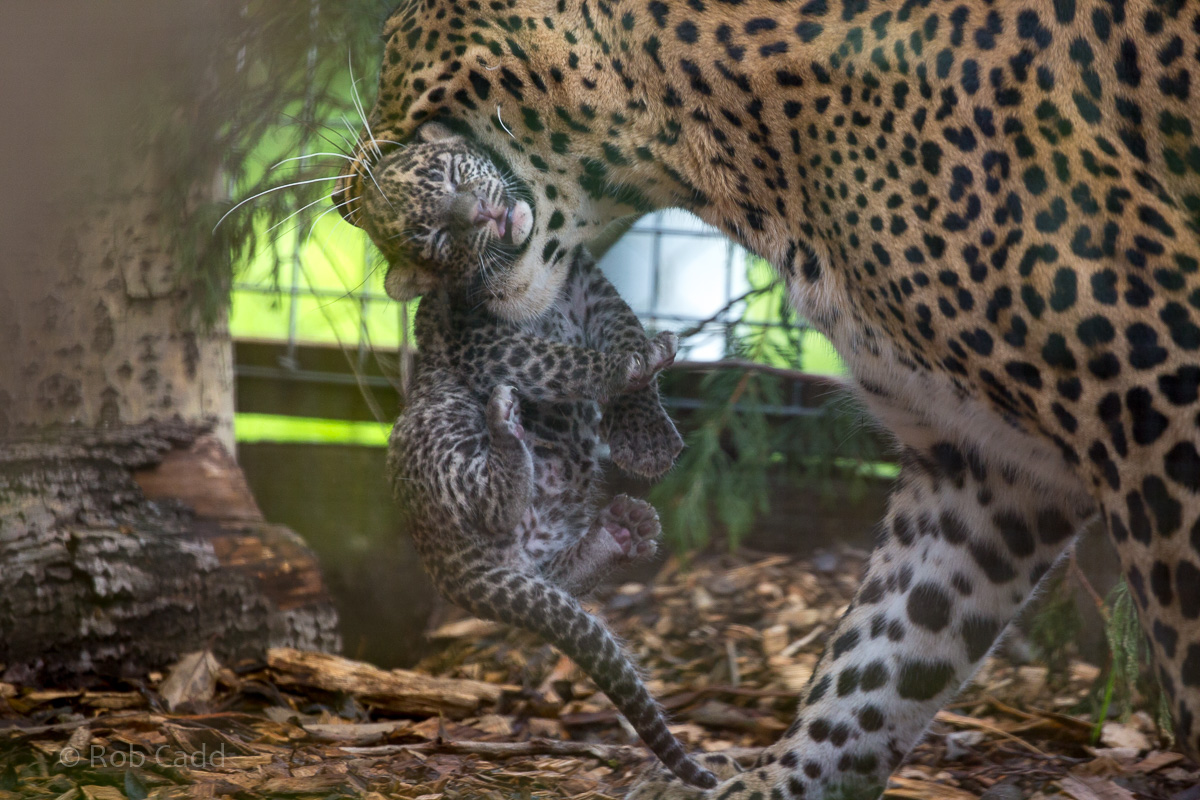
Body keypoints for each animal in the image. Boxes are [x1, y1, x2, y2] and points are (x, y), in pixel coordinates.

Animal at [369, 124, 715, 787]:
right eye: (437, 237)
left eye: (455, 174)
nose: (479, 213)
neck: (538, 275)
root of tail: (452, 569)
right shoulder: (485, 343)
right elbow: (562, 362)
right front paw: (624, 368)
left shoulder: (592, 289)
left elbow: (623, 325)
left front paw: (648, 433)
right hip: (434, 423)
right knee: (490, 498)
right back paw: (507, 429)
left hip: (541, 549)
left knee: (563, 577)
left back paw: (623, 531)